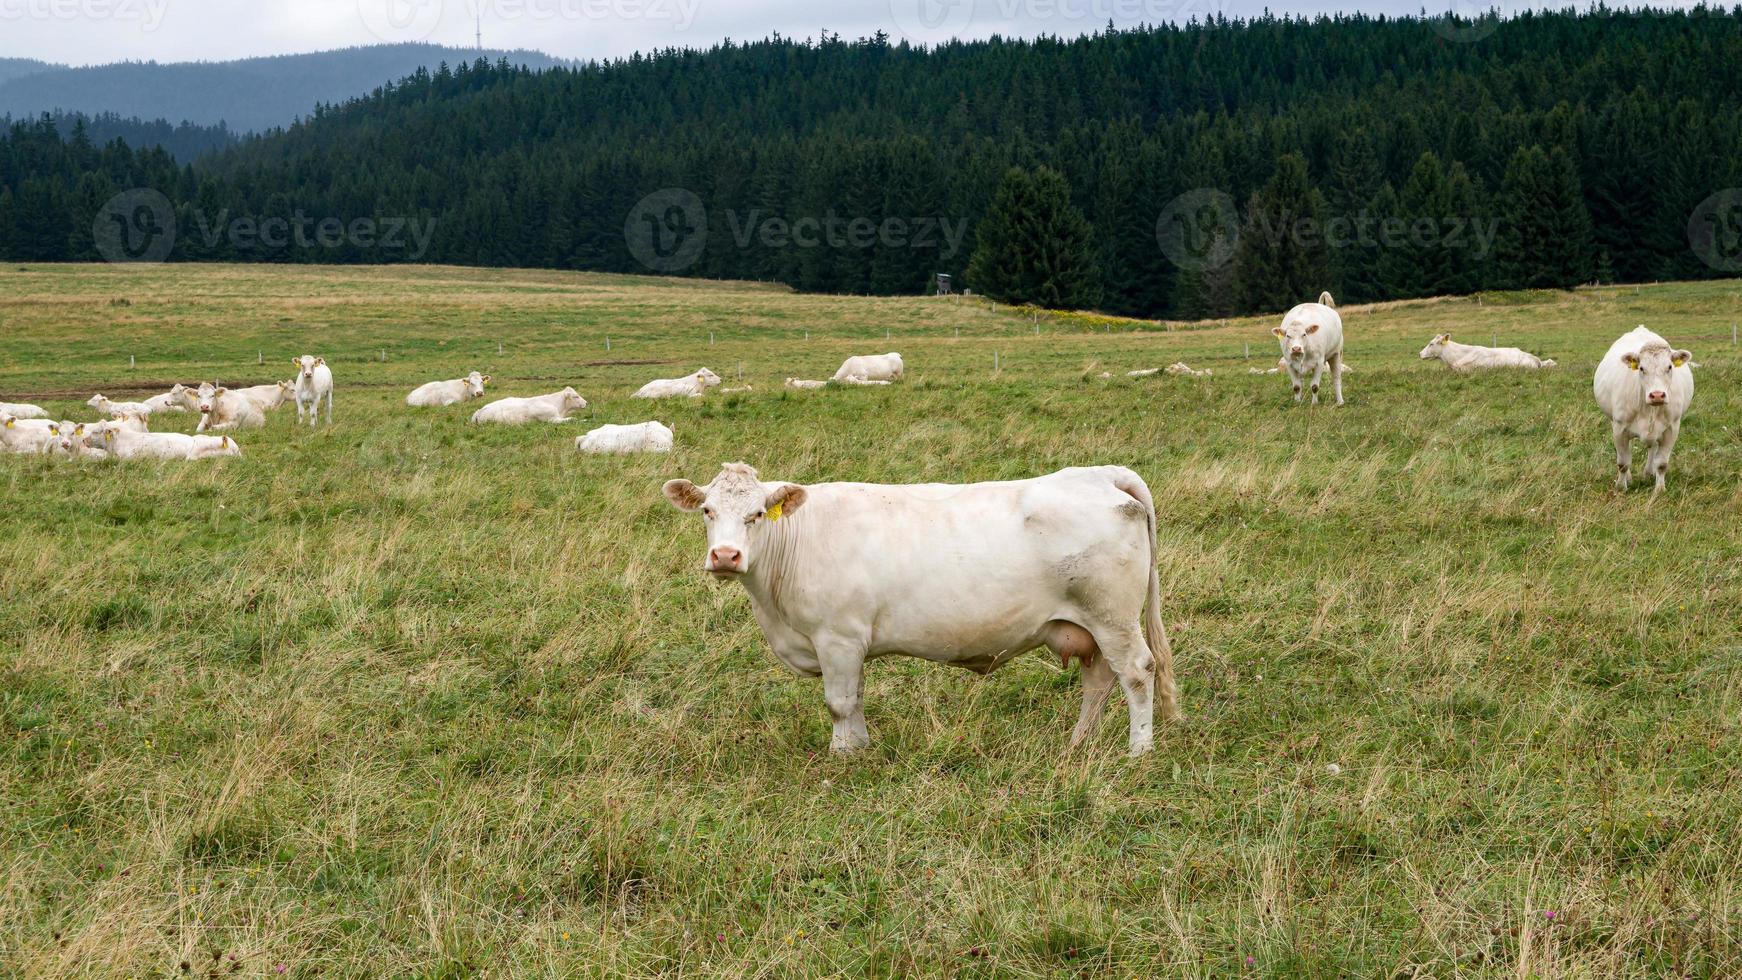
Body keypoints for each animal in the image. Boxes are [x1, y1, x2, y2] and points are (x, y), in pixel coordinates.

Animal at [661, 463, 1184, 755]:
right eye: (707, 510)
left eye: (755, 515)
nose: (725, 556)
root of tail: (1100, 475)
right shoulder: (852, 644)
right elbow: (856, 697)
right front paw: (861, 746)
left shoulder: (837, 637)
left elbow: (838, 702)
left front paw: (841, 755)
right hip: (1090, 625)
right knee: (1098, 680)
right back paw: (1078, 744)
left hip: (1113, 617)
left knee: (1138, 673)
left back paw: (1138, 751)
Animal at [1595, 325, 1686, 494]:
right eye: (1641, 368)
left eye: (1669, 367)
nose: (1657, 395)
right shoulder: (1619, 428)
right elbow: (1623, 463)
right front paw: (1621, 486)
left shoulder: (1672, 428)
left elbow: (1662, 463)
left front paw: (1660, 489)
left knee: (1652, 448)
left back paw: (1649, 472)